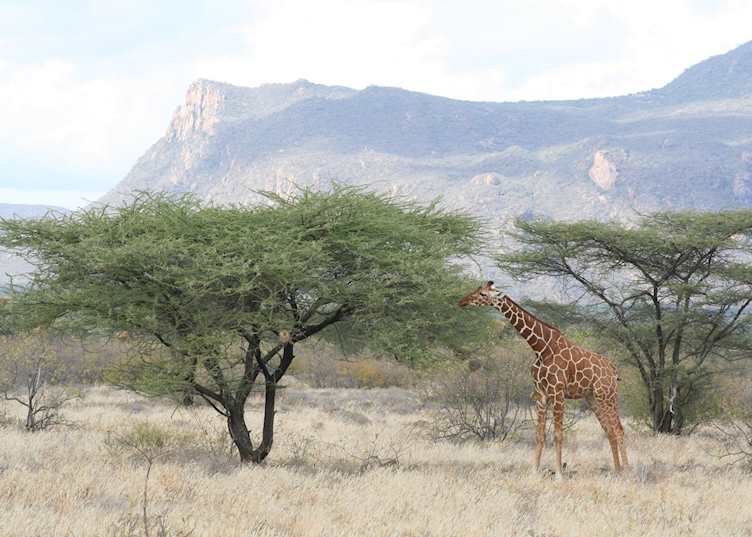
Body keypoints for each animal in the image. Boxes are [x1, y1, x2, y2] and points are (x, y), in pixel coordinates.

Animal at [458, 281, 628, 476]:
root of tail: (613, 369)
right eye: (477, 290)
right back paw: (617, 471)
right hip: (592, 397)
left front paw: (559, 474)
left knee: (618, 429)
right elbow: (539, 435)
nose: (462, 302)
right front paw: (534, 471)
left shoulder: (558, 392)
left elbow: (558, 435)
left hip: (607, 395)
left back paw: (627, 471)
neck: (541, 348)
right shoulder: (540, 393)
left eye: (483, 294)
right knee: (609, 430)